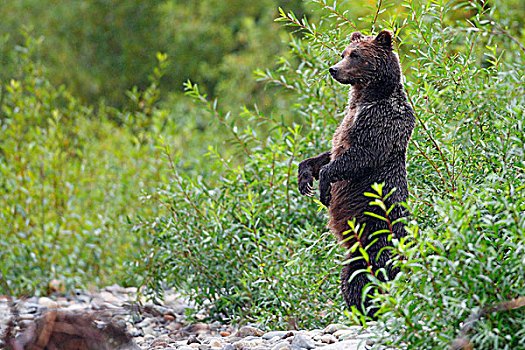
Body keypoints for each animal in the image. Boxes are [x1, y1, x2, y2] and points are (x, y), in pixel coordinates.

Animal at [298, 30, 414, 318]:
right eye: (343, 53)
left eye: (356, 55)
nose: (333, 69)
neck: (366, 98)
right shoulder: (346, 124)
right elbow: (330, 153)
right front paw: (305, 178)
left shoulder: (380, 124)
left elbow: (360, 156)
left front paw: (324, 189)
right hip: (356, 251)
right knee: (350, 277)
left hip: (377, 237)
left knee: (370, 276)